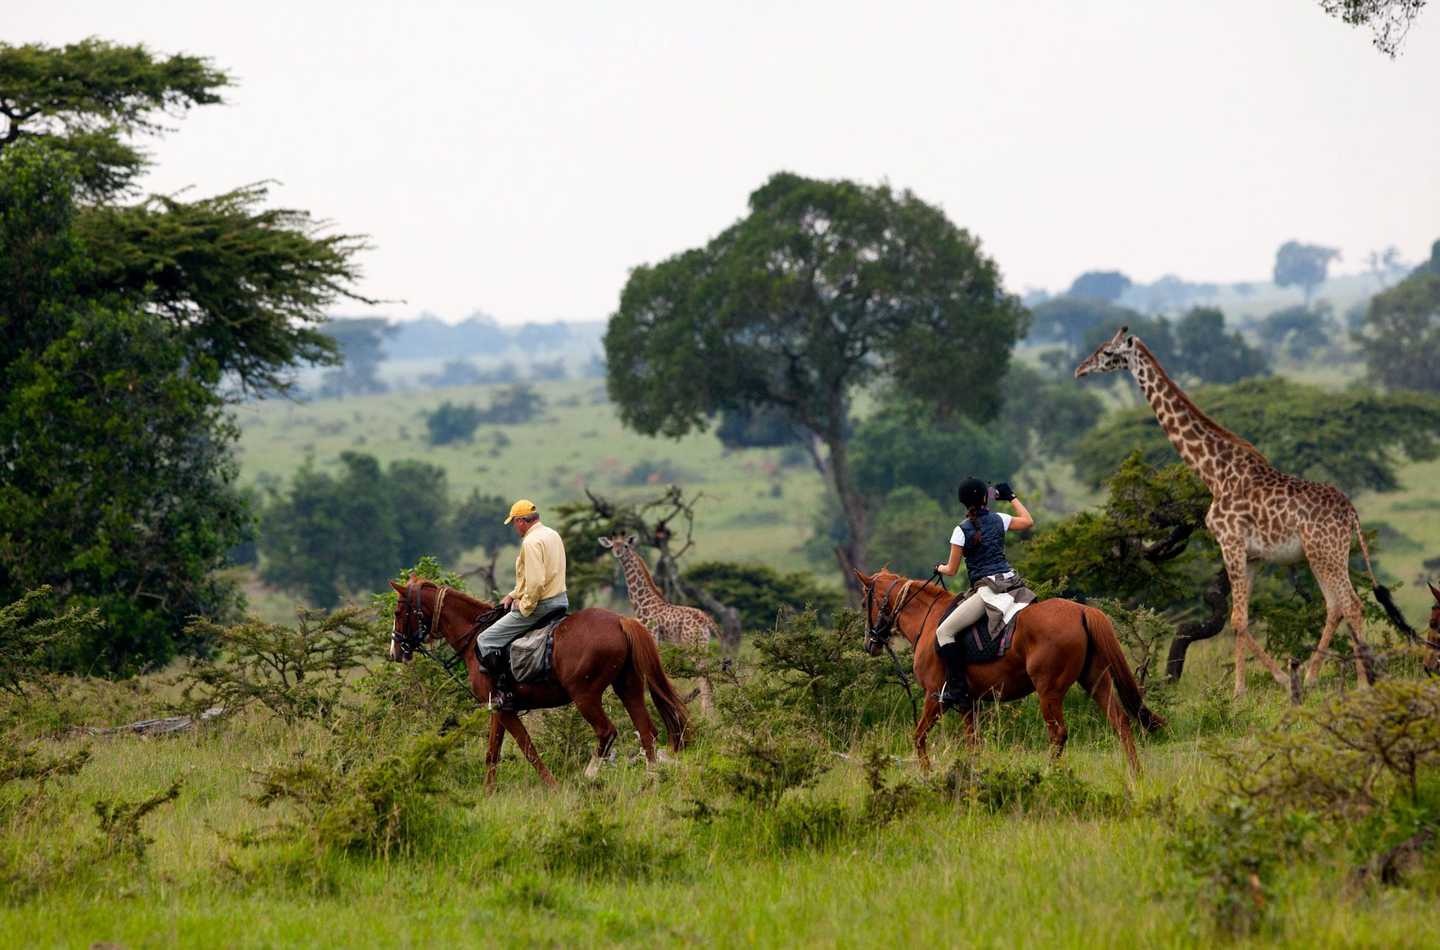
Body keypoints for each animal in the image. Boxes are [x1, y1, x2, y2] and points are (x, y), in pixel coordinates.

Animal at [387, 576, 688, 787]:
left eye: (398, 613)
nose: (395, 652)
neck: (474, 638)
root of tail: (621, 620)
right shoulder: (499, 708)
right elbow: (492, 753)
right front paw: (487, 794)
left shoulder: (505, 711)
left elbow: (528, 749)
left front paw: (552, 786)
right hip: (628, 686)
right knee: (647, 731)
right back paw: (651, 779)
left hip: (585, 696)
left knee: (607, 732)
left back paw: (588, 777)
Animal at [855, 569, 1164, 777]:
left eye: (864, 603)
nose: (871, 643)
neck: (929, 621)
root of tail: (1082, 611)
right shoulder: (969, 704)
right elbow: (973, 744)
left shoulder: (936, 697)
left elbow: (918, 737)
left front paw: (928, 774)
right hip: (1095, 681)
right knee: (1120, 722)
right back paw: (1136, 774)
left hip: (1049, 691)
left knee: (1059, 733)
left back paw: (1048, 775)